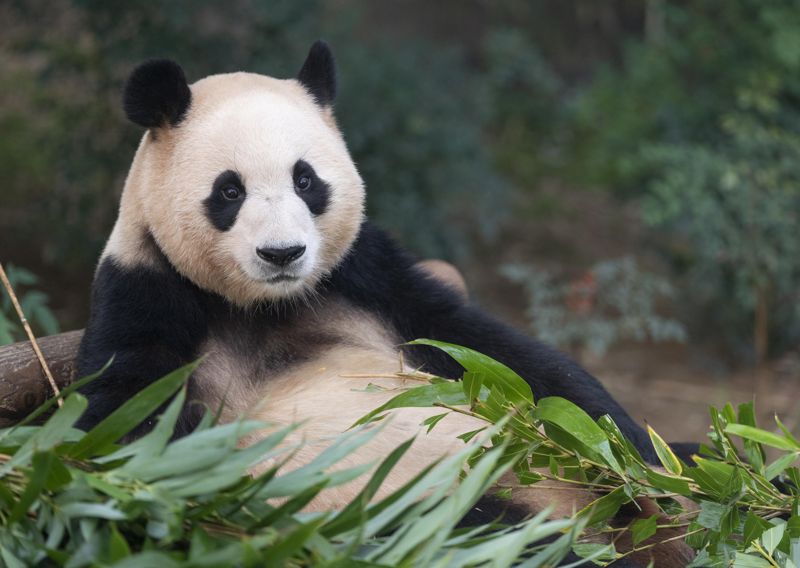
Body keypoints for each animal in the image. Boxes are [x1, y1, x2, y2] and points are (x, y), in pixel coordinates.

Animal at [75, 41, 692, 568]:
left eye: (305, 181)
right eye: (230, 191)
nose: (283, 253)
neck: (265, 305)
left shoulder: (364, 275)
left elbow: (494, 351)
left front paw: (635, 458)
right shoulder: (147, 292)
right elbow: (130, 435)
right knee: (479, 531)